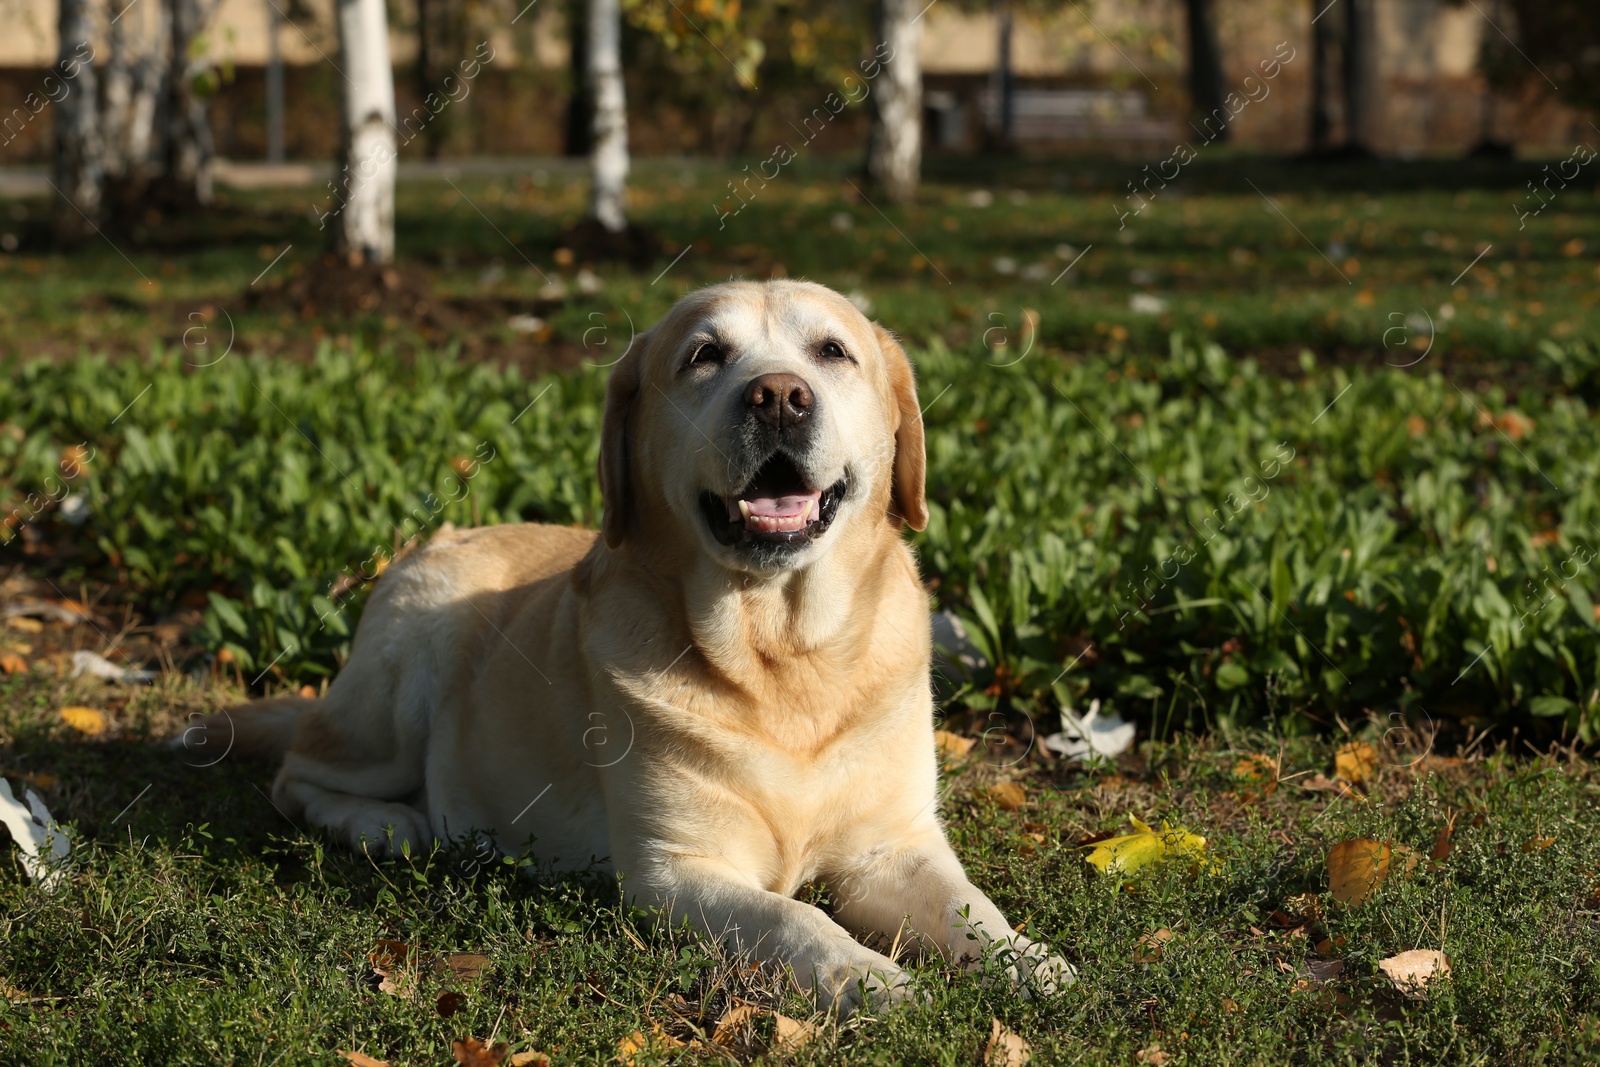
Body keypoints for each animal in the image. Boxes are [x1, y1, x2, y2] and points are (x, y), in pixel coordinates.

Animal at [203, 281, 1075, 1011]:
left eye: (832, 351)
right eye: (704, 356)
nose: (779, 398)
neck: (784, 655)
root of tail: (441, 537)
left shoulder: (893, 846)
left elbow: (972, 909)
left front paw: (1029, 959)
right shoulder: (674, 869)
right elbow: (795, 918)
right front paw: (864, 973)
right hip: (406, 667)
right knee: (297, 775)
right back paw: (386, 824)